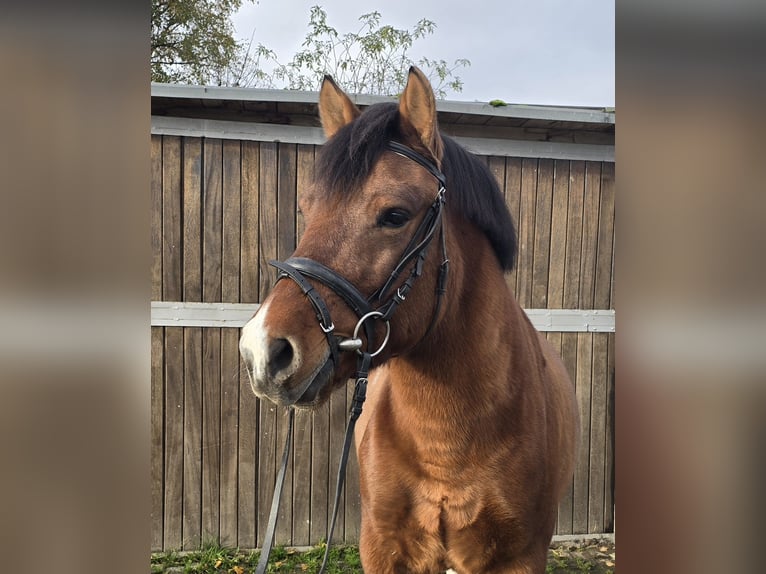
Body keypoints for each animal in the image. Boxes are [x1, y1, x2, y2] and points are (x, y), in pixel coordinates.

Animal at [240, 65, 576, 572]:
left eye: (395, 215)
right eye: (307, 210)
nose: (262, 350)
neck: (447, 442)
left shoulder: (519, 557)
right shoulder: (385, 549)